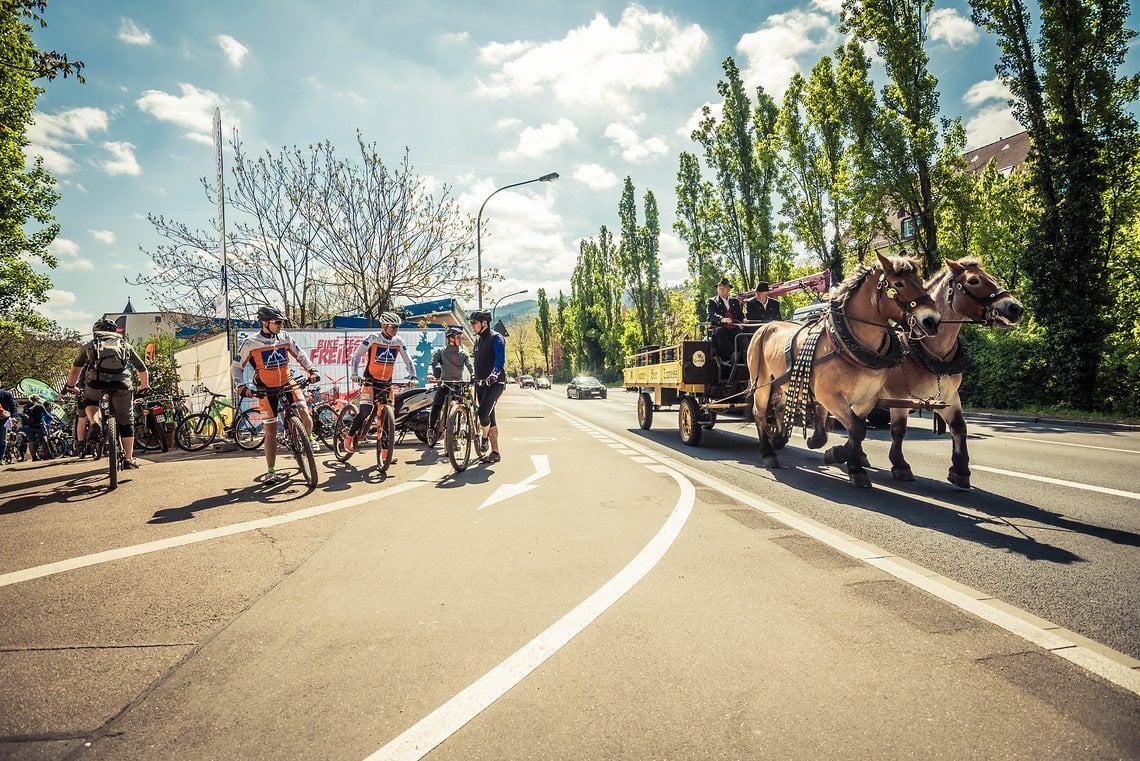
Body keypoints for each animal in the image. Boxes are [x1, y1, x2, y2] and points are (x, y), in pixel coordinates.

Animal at [743, 250, 939, 487]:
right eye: (898, 284)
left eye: (920, 281)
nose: (932, 320)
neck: (848, 344)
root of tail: (765, 325)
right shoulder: (830, 397)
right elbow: (856, 429)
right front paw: (839, 456)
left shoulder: (867, 399)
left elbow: (854, 431)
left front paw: (851, 463)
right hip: (762, 382)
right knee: (760, 413)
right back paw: (768, 452)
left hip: (781, 384)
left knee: (780, 408)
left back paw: (779, 438)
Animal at [880, 258, 1026, 489]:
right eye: (974, 280)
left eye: (992, 277)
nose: (1015, 307)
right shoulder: (898, 397)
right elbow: (898, 430)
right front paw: (900, 465)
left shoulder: (950, 397)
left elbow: (959, 427)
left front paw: (960, 469)